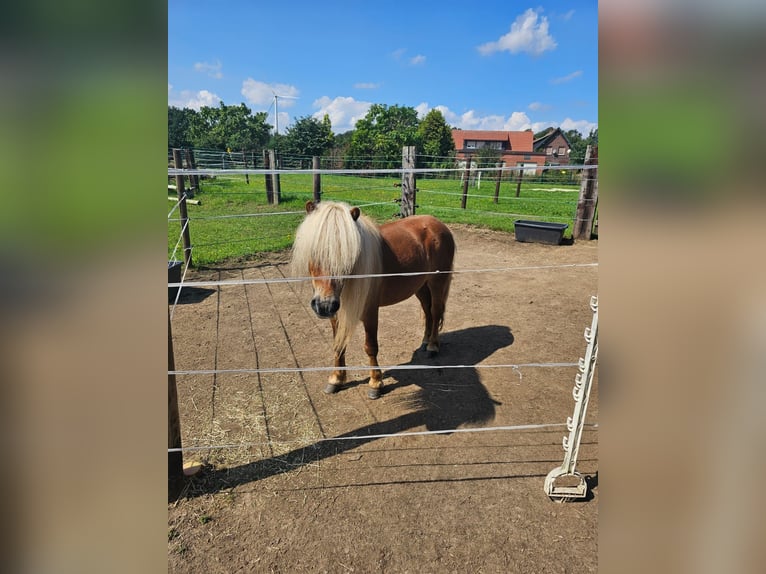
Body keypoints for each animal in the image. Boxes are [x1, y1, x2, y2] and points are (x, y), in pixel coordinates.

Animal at [292, 202, 452, 400]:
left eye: (348, 256)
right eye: (313, 252)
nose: (324, 306)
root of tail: (438, 224)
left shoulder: (370, 313)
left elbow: (371, 347)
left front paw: (375, 383)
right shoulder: (336, 314)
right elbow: (338, 345)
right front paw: (336, 379)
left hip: (437, 282)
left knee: (435, 312)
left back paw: (432, 346)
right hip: (421, 286)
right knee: (427, 311)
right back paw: (424, 342)